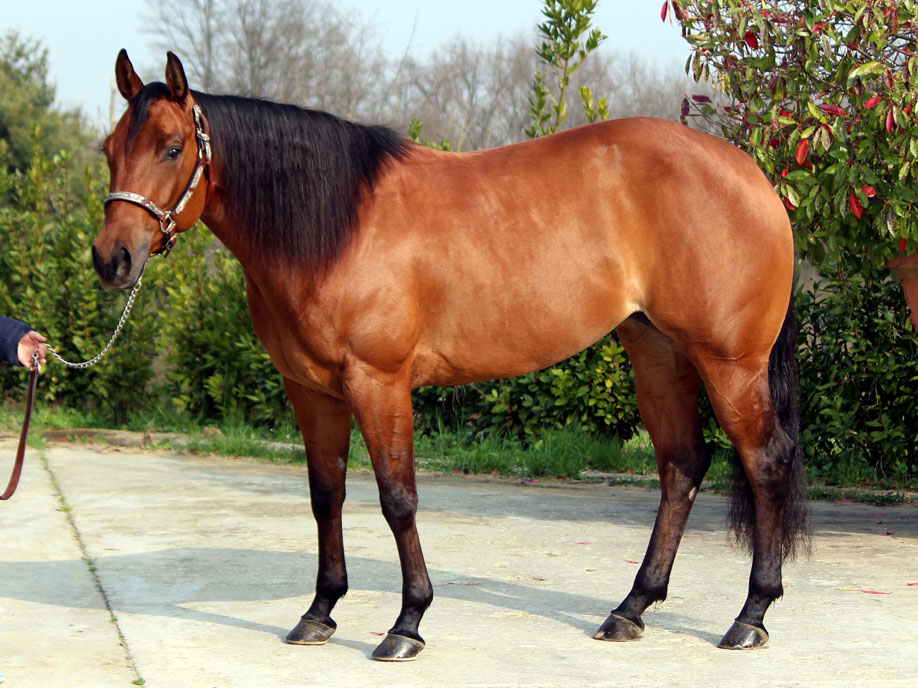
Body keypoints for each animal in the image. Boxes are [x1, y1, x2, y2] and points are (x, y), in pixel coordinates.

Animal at [92, 51, 808, 662]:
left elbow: (397, 498)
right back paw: (630, 609)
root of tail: (752, 176)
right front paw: (320, 612)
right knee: (682, 466)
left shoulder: (378, 382)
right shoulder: (311, 390)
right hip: (657, 352)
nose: (111, 259)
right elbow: (327, 496)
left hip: (728, 362)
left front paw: (407, 623)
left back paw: (750, 617)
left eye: (173, 148)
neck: (336, 226)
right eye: (109, 150)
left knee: (765, 461)